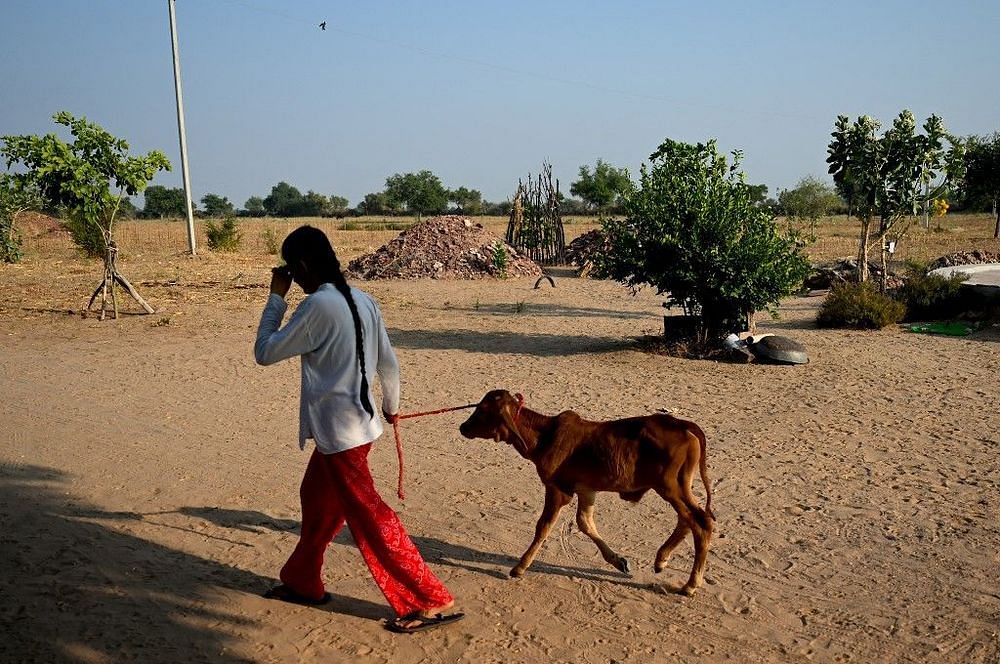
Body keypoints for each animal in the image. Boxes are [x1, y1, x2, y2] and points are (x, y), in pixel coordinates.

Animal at [458, 390, 716, 596]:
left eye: (483, 409)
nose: (463, 427)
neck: (544, 436)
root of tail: (683, 425)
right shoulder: (586, 489)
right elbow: (584, 523)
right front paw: (619, 561)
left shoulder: (557, 489)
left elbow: (543, 527)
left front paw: (520, 567)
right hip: (679, 486)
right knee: (689, 519)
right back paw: (662, 559)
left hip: (670, 487)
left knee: (700, 521)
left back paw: (690, 584)